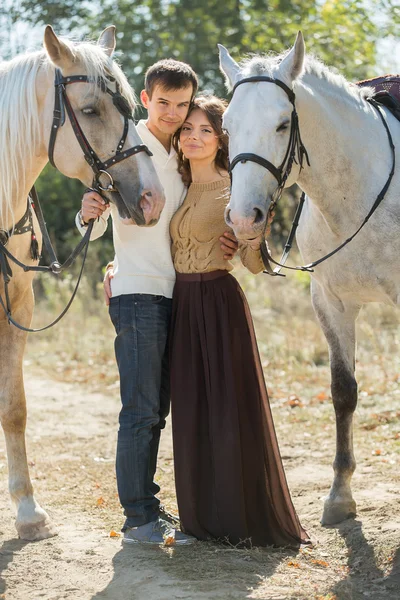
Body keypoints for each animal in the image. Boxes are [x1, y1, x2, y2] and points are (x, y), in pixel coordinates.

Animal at [0, 25, 165, 540]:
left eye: (130, 107)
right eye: (90, 110)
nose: (152, 198)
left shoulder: (18, 311)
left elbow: (14, 408)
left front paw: (28, 512)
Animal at [219, 34, 400, 524]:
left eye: (283, 124)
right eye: (226, 125)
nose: (243, 220)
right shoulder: (330, 303)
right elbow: (343, 392)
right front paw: (339, 496)